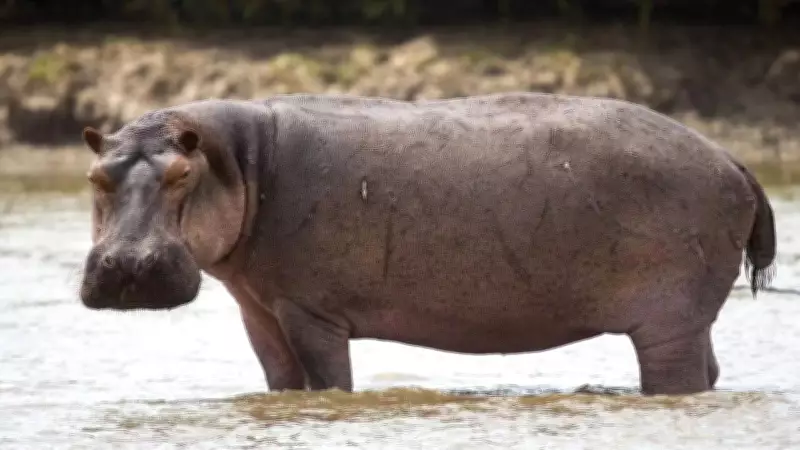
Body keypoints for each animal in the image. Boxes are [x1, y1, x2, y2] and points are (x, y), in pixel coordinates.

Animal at [78, 92, 776, 395]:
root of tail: (733, 160)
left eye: (180, 175)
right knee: (710, 371)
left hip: (668, 322)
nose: (125, 266)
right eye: (94, 176)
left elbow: (328, 382)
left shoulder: (311, 312)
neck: (241, 162)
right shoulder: (260, 310)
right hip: (690, 318)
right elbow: (281, 382)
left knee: (677, 376)